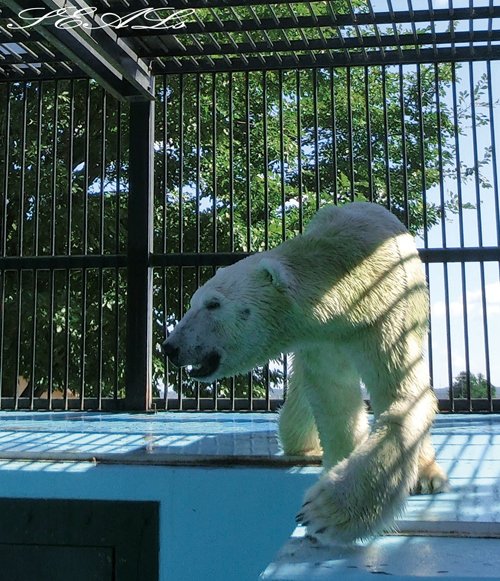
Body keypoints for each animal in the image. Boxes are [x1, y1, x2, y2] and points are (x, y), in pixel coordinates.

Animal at [164, 202, 450, 540]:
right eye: (193, 302)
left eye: (213, 304)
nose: (170, 347)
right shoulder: (321, 341)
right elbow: (334, 402)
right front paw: (335, 467)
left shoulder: (384, 315)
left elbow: (403, 396)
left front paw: (327, 511)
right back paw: (302, 445)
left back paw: (428, 475)